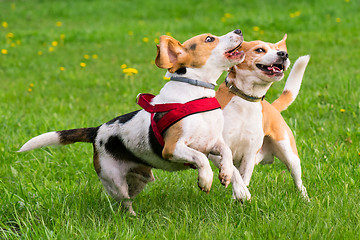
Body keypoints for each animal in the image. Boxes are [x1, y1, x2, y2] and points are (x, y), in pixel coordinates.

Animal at [17, 30, 250, 216]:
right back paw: (131, 217)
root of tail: (97, 131)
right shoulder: (172, 148)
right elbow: (200, 158)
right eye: (209, 39)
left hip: (140, 179)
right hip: (115, 181)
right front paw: (205, 179)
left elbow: (227, 154)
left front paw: (226, 175)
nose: (238, 30)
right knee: (124, 202)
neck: (196, 94)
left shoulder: (213, 142)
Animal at [214, 35, 310, 201]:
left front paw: (241, 195)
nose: (284, 54)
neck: (246, 99)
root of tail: (272, 107)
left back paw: (305, 199)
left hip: (291, 156)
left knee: (299, 182)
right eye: (259, 50)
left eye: (278, 50)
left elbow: (243, 177)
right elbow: (233, 172)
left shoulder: (249, 155)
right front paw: (240, 193)